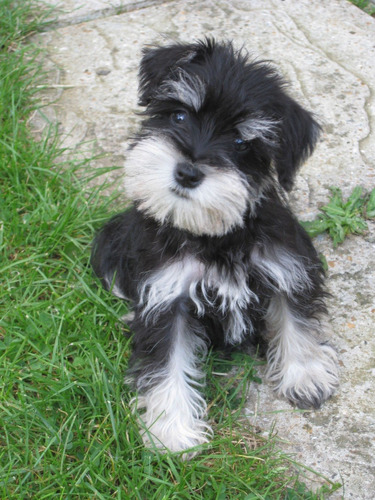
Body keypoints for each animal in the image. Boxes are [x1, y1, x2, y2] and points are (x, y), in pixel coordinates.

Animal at [92, 38, 340, 454]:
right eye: (179, 116)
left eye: (241, 141)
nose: (187, 172)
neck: (217, 236)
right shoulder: (168, 297)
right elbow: (167, 362)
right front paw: (172, 433)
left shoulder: (286, 267)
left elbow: (295, 320)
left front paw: (304, 374)